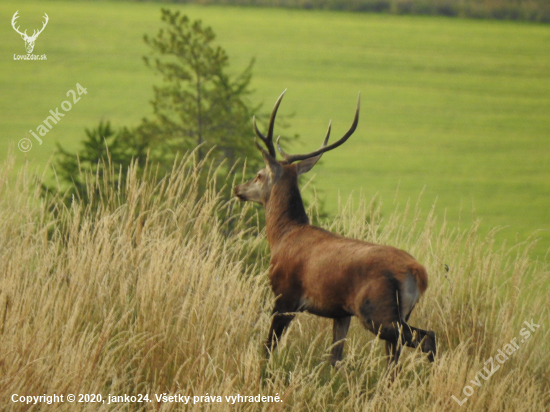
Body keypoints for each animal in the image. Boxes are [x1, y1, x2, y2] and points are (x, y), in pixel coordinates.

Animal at [235, 90, 438, 374]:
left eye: (258, 174)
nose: (238, 189)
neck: (282, 237)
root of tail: (418, 273)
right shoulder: (341, 312)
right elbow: (335, 358)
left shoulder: (285, 296)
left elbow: (269, 347)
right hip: (400, 311)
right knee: (400, 351)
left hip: (376, 310)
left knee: (425, 338)